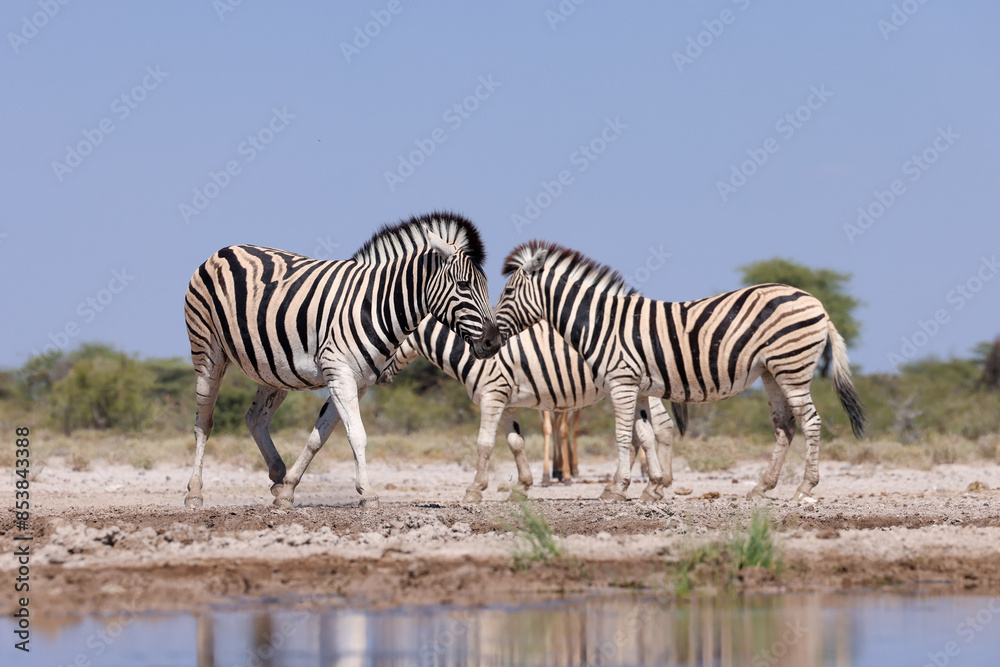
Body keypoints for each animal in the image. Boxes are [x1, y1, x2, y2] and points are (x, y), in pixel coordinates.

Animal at [182, 212, 501, 509]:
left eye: (485, 285)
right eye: (463, 285)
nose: (494, 342)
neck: (376, 305)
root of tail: (225, 250)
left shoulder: (356, 381)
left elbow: (318, 437)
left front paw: (288, 490)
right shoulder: (339, 373)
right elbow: (357, 435)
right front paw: (368, 493)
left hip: (272, 368)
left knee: (255, 418)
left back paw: (277, 474)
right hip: (208, 352)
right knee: (204, 422)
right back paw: (194, 493)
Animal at [376, 315, 686, 503]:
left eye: (389, 341)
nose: (378, 378)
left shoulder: (492, 395)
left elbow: (484, 444)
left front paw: (475, 489)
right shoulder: (506, 402)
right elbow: (516, 443)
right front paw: (522, 486)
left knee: (655, 430)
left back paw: (649, 484)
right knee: (653, 431)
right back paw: (639, 485)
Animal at [493, 241, 866, 502]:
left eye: (508, 291)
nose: (487, 339)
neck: (603, 323)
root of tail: (815, 301)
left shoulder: (622, 382)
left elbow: (623, 435)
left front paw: (619, 489)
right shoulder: (638, 386)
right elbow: (643, 435)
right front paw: (650, 489)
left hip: (791, 367)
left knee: (811, 421)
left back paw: (804, 487)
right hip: (771, 371)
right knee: (784, 426)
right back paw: (762, 487)